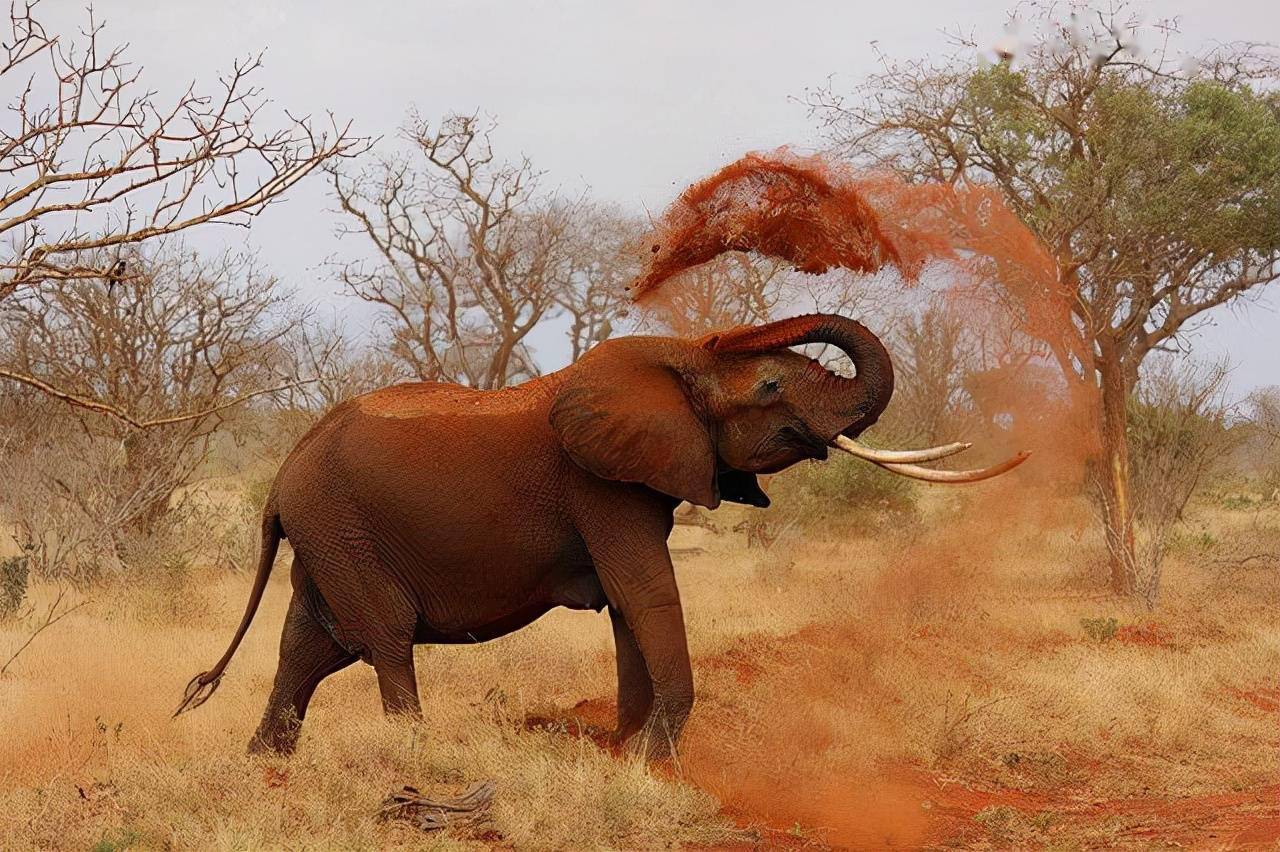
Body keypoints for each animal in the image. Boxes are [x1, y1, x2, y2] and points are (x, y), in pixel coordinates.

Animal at [177, 312, 1018, 757]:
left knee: (310, 643)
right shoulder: (600, 485)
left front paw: (627, 748)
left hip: (328, 531)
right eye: (773, 384)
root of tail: (283, 474)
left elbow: (627, 605)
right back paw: (413, 753)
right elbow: (645, 591)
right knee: (381, 636)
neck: (676, 359)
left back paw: (266, 766)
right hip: (341, 525)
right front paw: (651, 756)